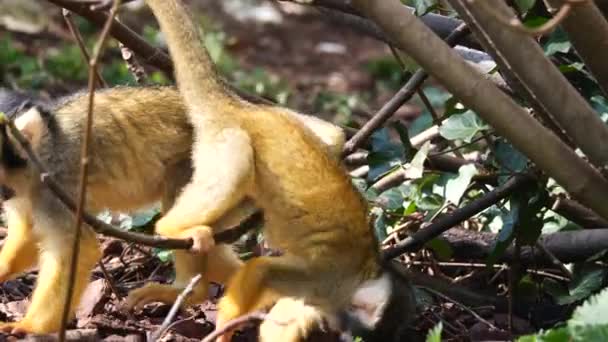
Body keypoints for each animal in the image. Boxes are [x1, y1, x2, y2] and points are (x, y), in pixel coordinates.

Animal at [0, 86, 344, 334]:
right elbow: (28, 236)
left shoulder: (56, 186)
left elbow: (76, 249)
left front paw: (29, 327)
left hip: (222, 176)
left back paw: (192, 291)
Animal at [141, 1, 416, 340]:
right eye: (361, 335)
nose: (340, 332)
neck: (362, 274)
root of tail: (242, 109)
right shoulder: (326, 277)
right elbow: (263, 270)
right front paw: (224, 330)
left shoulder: (323, 293)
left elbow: (287, 313)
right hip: (224, 141)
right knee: (237, 167)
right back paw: (172, 229)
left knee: (333, 136)